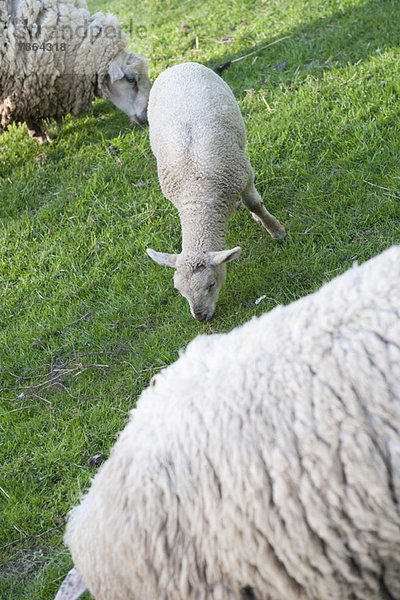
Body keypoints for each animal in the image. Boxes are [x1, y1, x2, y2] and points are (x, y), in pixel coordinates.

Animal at [145, 62, 286, 322]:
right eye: (178, 290)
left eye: (211, 284)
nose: (200, 317)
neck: (198, 194)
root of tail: (179, 64)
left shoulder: (242, 175)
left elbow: (254, 203)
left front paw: (275, 230)